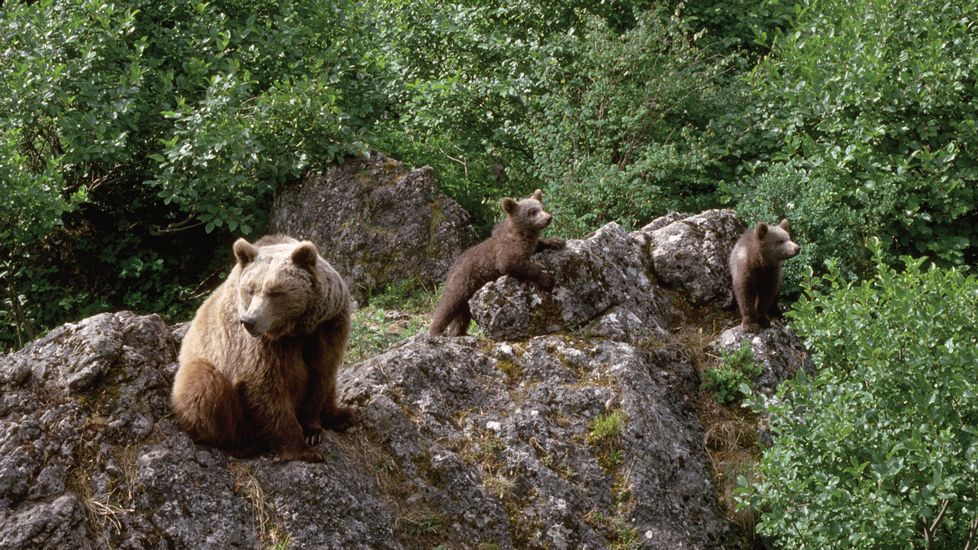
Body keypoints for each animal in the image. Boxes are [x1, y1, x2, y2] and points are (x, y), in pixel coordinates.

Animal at [173, 235, 354, 464]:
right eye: (250, 290)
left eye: (275, 292)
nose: (249, 321)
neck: (296, 330)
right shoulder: (261, 348)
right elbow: (267, 388)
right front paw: (304, 449)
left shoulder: (328, 327)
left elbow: (321, 375)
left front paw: (312, 429)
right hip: (205, 368)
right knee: (205, 386)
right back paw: (242, 445)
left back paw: (342, 415)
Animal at [428, 190, 564, 336]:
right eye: (532, 211)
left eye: (542, 207)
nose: (548, 217)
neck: (522, 233)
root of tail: (450, 270)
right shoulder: (508, 249)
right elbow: (510, 262)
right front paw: (545, 278)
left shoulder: (528, 244)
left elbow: (538, 244)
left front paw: (556, 241)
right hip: (462, 282)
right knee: (448, 306)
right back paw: (435, 331)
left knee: (462, 315)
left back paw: (459, 332)